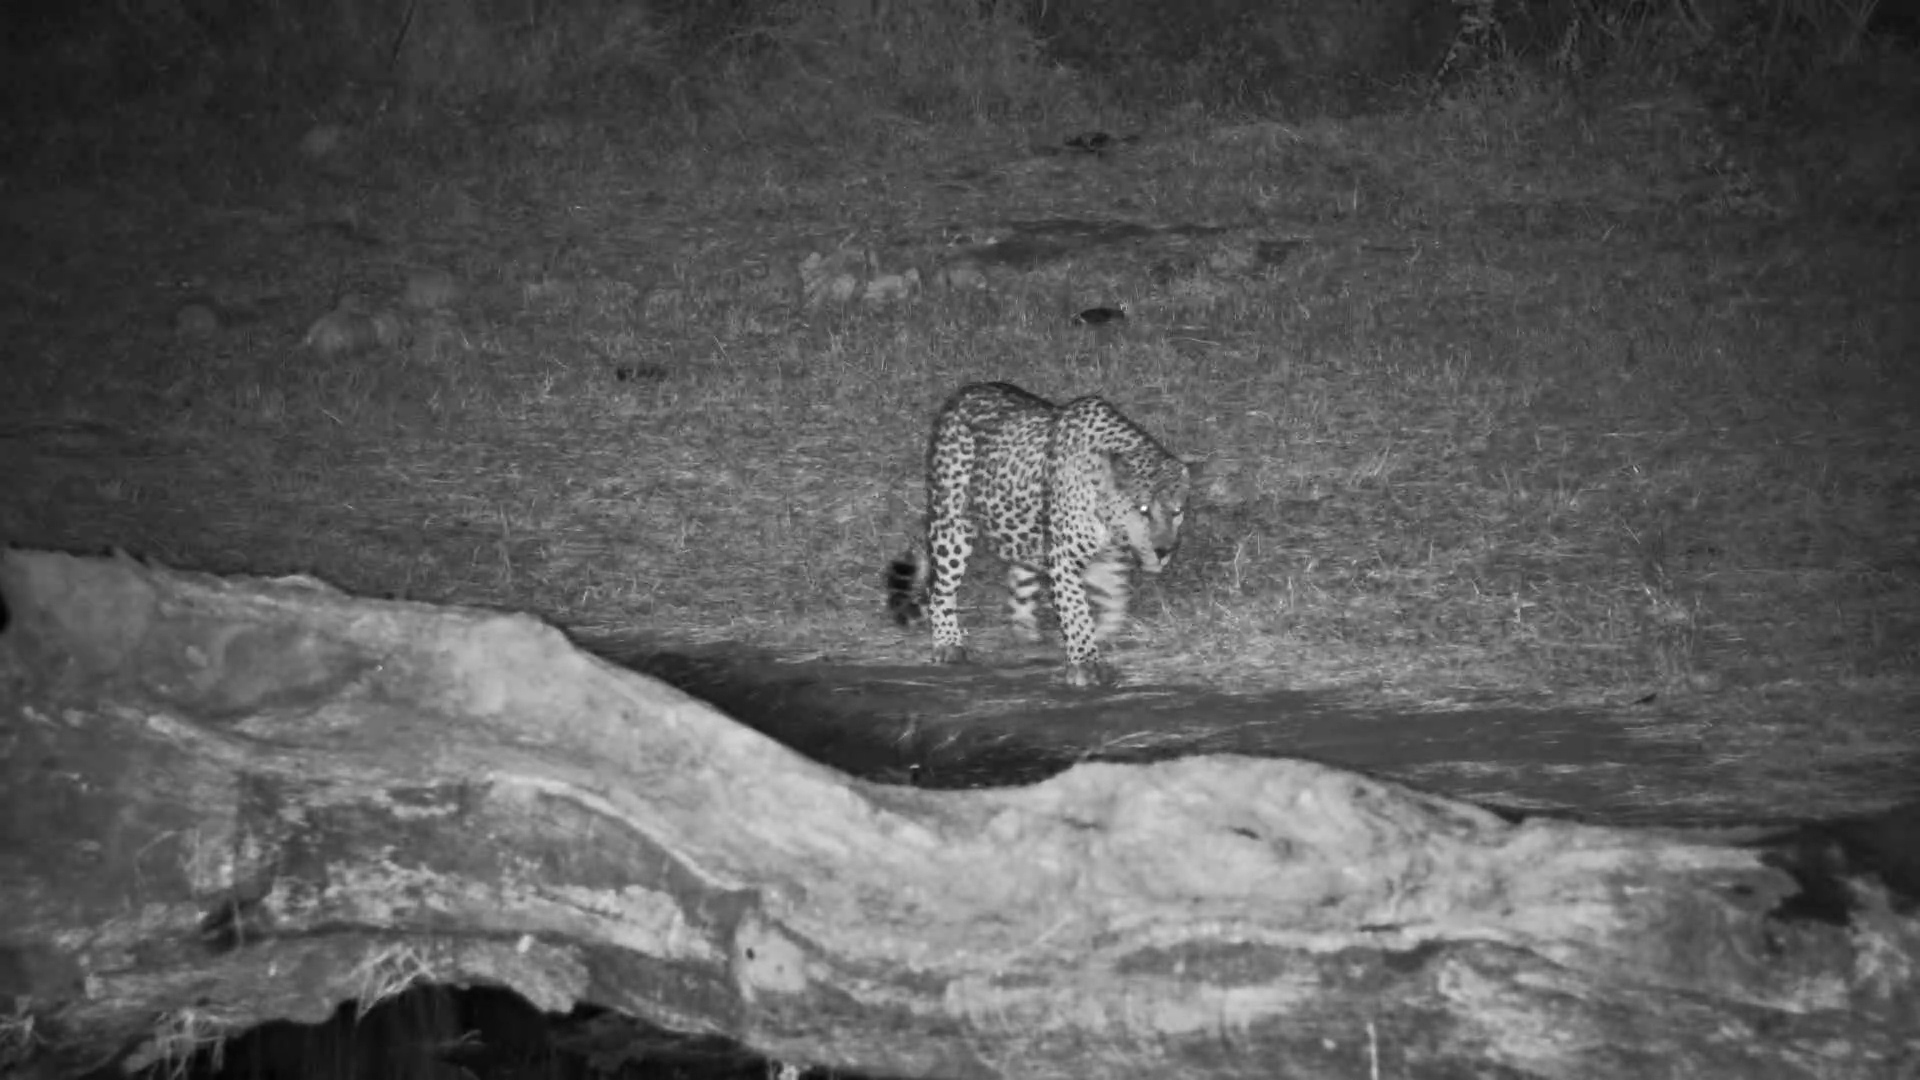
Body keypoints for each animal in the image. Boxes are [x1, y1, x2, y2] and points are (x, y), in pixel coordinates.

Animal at [886, 381, 1193, 688]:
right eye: (1143, 510)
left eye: (1177, 512)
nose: (1164, 551)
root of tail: (964, 391)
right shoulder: (1065, 557)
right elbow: (1076, 610)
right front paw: (1084, 664)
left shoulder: (1106, 557)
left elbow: (1113, 595)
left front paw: (1106, 633)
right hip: (951, 522)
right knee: (941, 589)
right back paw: (947, 643)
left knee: (1020, 574)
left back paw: (1025, 634)